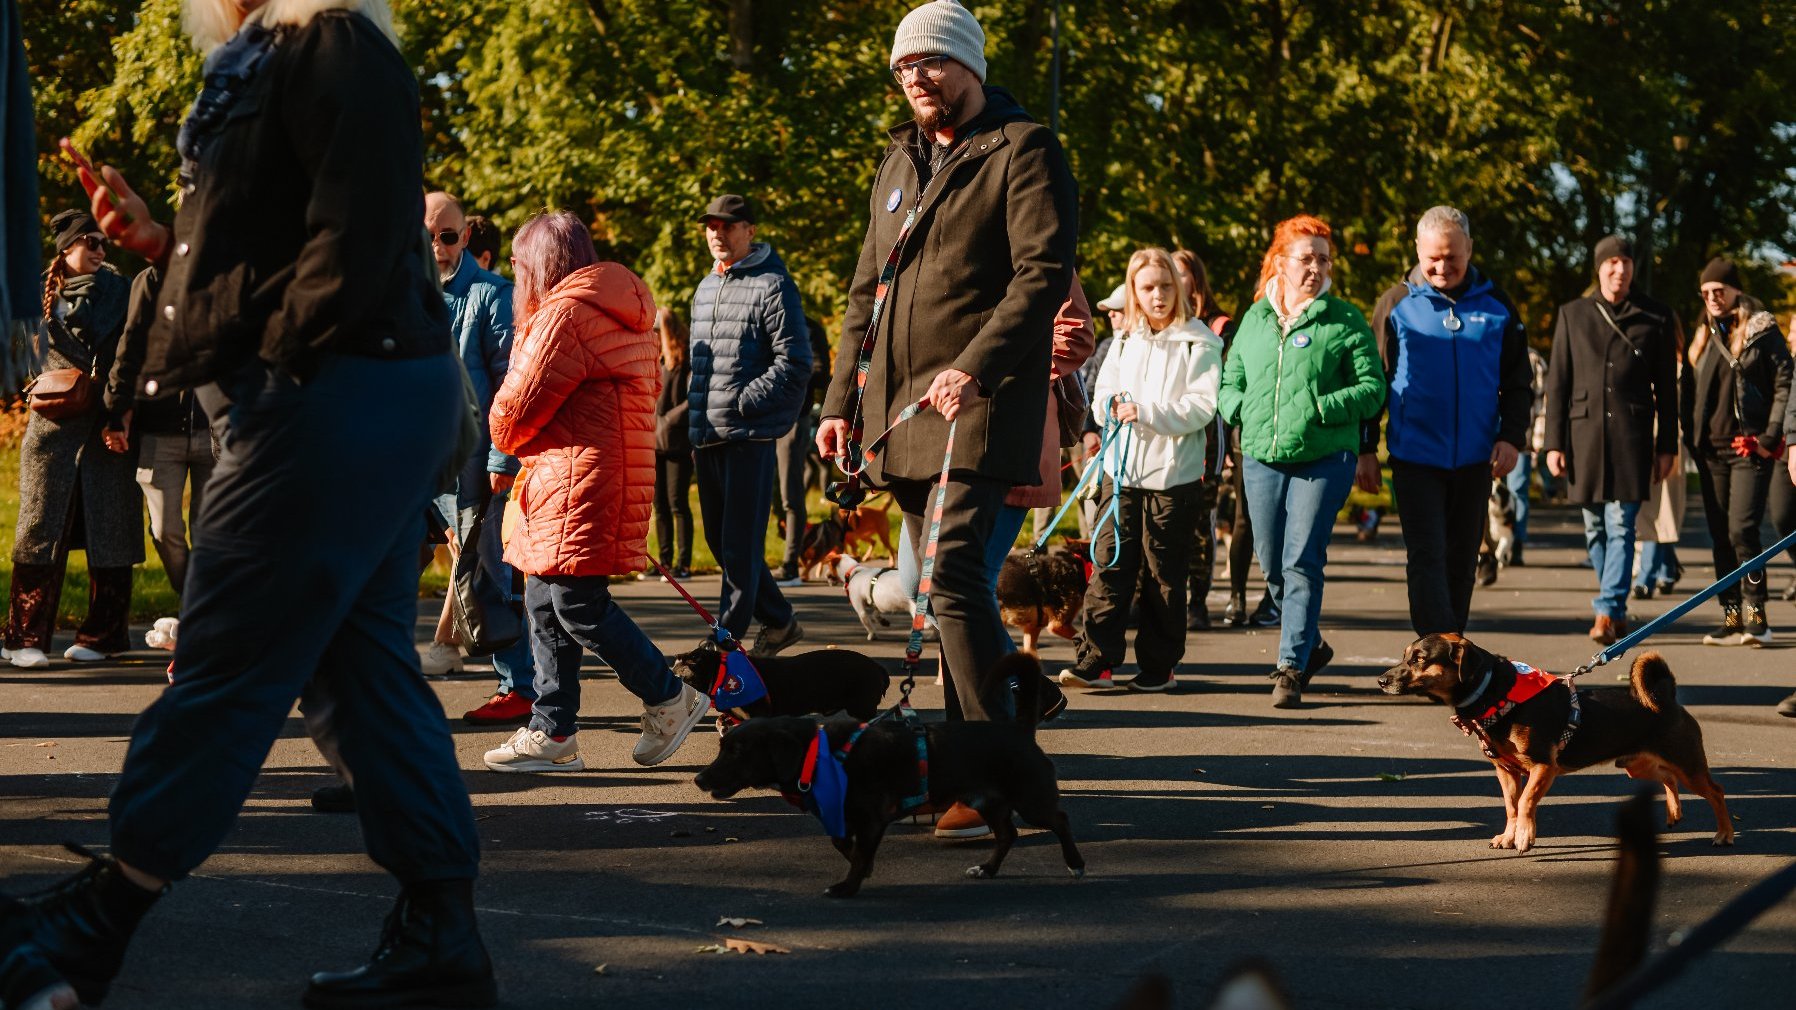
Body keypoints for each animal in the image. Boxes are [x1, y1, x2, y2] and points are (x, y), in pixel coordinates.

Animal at [686, 654, 1077, 894]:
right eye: (723, 748)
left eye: (737, 752)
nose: (699, 780)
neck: (821, 753)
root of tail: (1020, 729)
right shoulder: (845, 816)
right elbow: (843, 843)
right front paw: (860, 869)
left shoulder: (871, 818)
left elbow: (858, 853)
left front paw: (847, 886)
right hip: (987, 801)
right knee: (1008, 834)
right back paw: (987, 869)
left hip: (1030, 799)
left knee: (1058, 819)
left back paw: (1075, 863)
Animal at [1379, 632, 1731, 851]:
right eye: (1405, 657)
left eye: (1419, 659)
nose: (1381, 680)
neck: (1499, 695)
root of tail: (1666, 697)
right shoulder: (1505, 771)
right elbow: (1511, 806)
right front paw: (1509, 835)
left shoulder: (1542, 767)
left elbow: (1525, 803)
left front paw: (1524, 836)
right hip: (1637, 764)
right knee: (1668, 777)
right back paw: (1674, 813)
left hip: (1688, 765)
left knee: (1715, 791)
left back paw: (1724, 833)